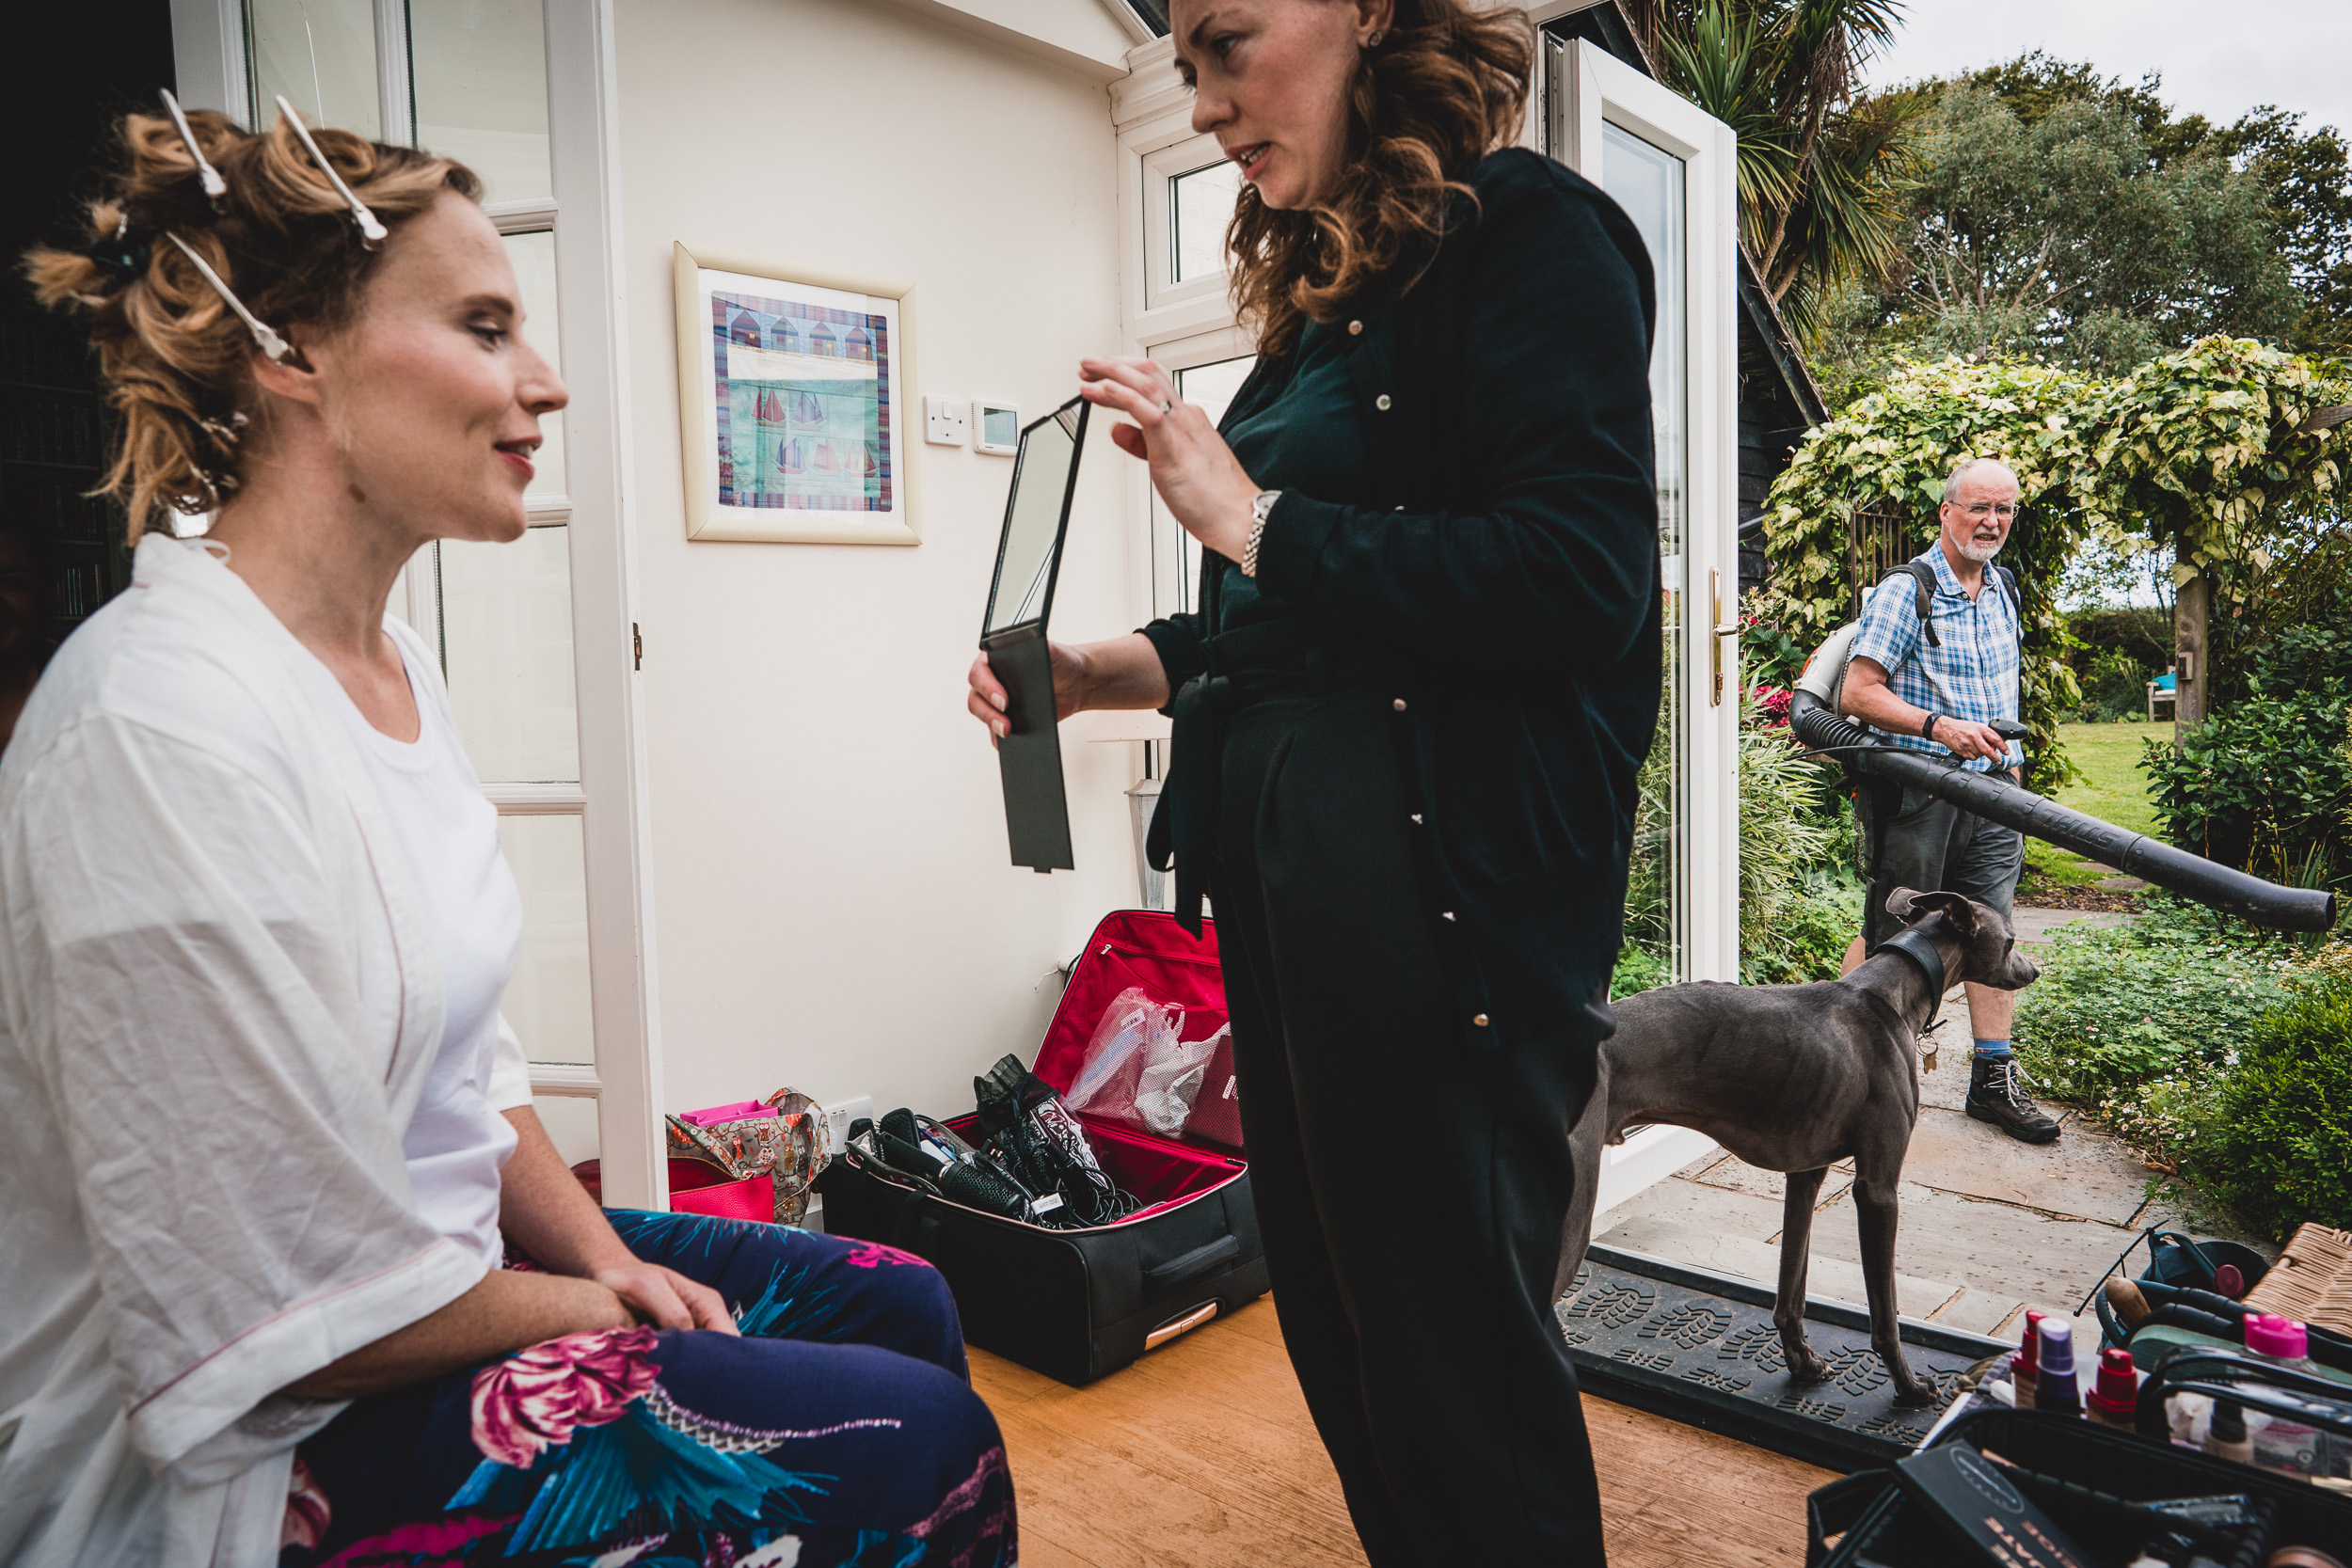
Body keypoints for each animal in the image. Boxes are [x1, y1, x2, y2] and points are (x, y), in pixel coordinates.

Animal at [1562, 883, 2042, 1410]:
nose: (2034, 971)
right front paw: (1909, 1386)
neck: (1893, 993)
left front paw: (1802, 1362)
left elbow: (1791, 1287)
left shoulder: (1807, 1172)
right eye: (2010, 938)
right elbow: (1885, 1313)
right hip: (1574, 1219)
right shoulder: (1878, 1189)